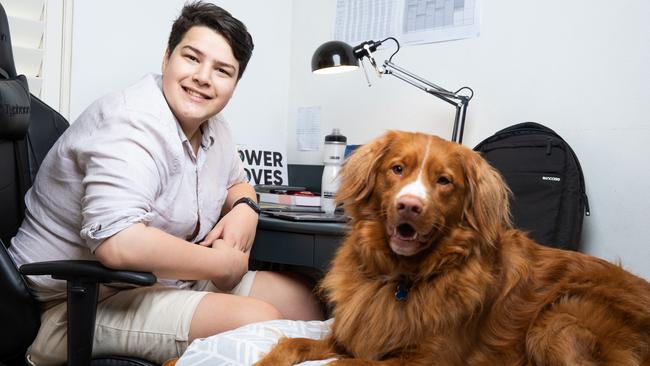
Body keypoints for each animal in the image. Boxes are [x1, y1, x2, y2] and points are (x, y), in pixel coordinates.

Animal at [254, 130, 648, 364]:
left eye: (444, 181)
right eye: (397, 169)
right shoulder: (351, 333)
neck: (402, 278)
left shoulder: (426, 359)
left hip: (557, 321)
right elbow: (292, 342)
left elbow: (345, 363)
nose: (409, 205)